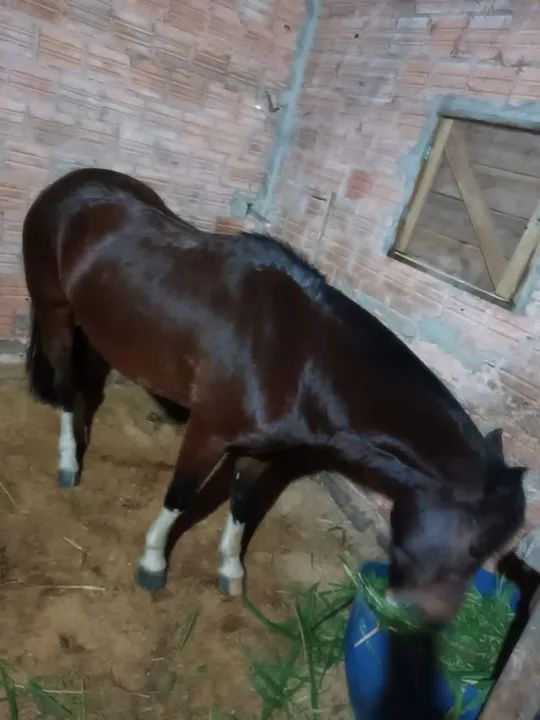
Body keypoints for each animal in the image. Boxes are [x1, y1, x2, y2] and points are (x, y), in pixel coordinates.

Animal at [22, 167, 526, 622]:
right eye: (475, 547)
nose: (425, 619)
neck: (301, 357)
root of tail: (68, 185)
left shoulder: (262, 450)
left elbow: (242, 506)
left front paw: (231, 571)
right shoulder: (208, 434)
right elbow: (180, 496)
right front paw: (153, 562)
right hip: (55, 311)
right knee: (66, 385)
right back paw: (69, 461)